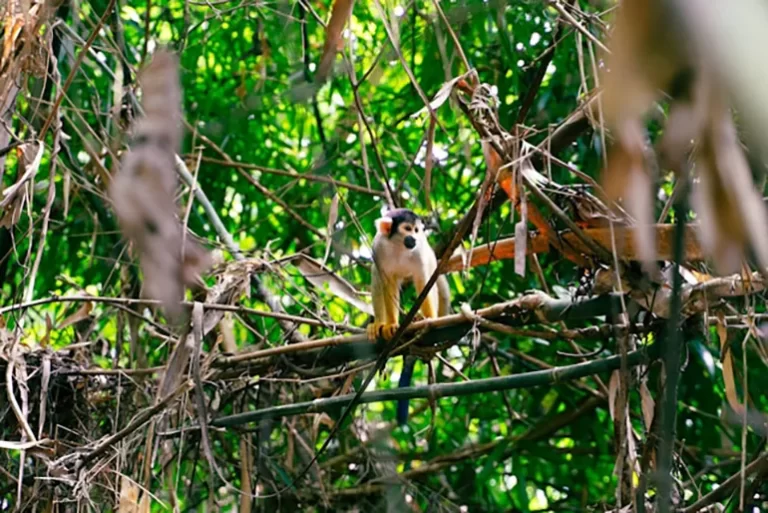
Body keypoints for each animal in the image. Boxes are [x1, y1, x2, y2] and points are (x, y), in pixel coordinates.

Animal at [367, 208, 452, 424]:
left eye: (416, 230)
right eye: (407, 229)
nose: (413, 238)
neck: (398, 246)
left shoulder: (420, 253)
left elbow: (424, 280)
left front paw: (429, 319)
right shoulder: (379, 247)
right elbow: (387, 283)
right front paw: (390, 325)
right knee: (377, 276)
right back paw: (378, 324)